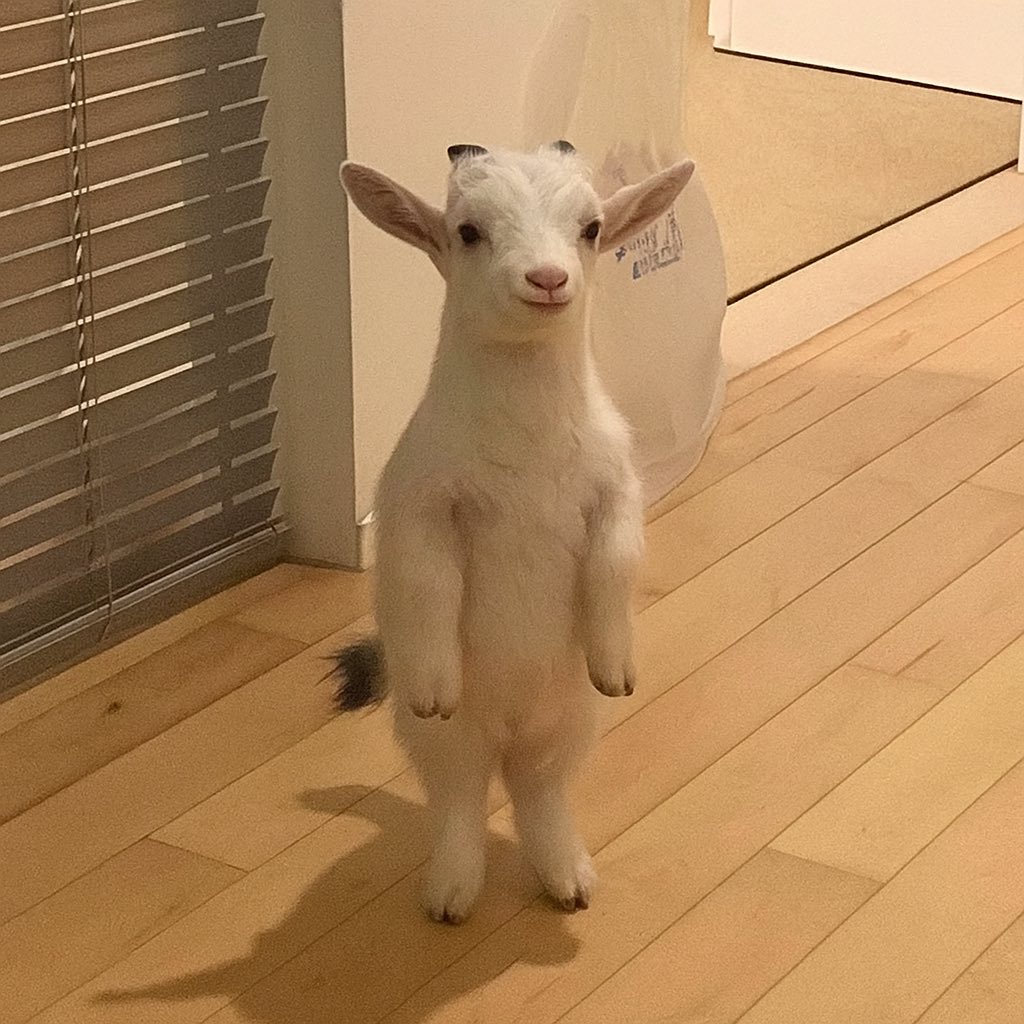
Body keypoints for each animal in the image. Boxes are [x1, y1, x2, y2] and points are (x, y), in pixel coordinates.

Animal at [336, 142, 694, 923]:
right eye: (468, 231)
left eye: (591, 229)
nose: (548, 279)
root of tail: (507, 730)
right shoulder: (421, 506)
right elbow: (429, 583)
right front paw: (437, 682)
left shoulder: (616, 494)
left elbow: (615, 564)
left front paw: (617, 670)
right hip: (444, 743)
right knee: (462, 797)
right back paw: (451, 895)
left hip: (567, 729)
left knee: (539, 794)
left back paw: (569, 882)